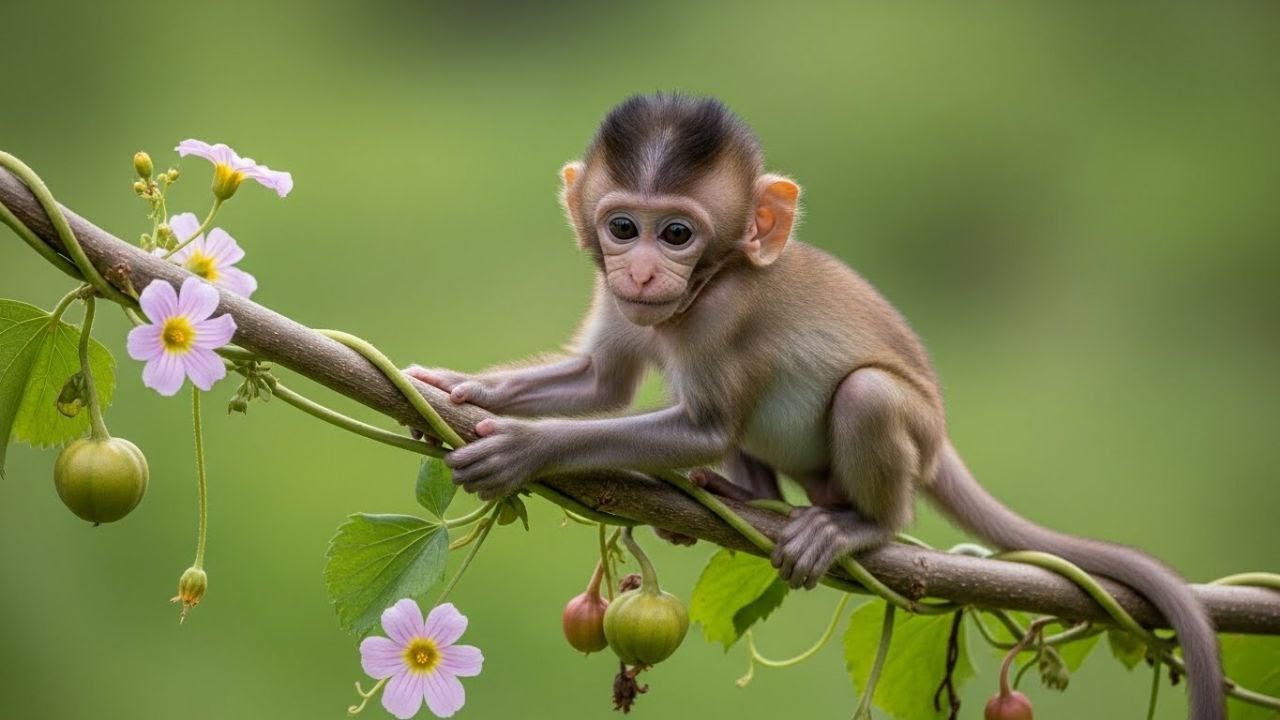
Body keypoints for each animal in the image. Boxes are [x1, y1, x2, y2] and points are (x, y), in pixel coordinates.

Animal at [406, 93, 1223, 719]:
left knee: (865, 397)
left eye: (677, 233)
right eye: (622, 227)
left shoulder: (722, 314)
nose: (638, 270)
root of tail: (941, 439)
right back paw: (745, 492)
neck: (704, 287)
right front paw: (454, 385)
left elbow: (701, 427)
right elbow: (603, 382)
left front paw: (522, 446)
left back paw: (858, 524)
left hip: (903, 432)